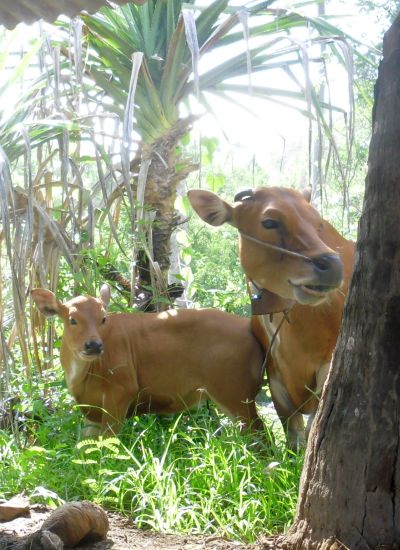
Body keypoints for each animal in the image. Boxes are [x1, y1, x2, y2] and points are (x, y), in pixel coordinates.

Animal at [32, 288, 266, 440]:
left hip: (236, 396)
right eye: (72, 319)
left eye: (103, 318)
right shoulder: (91, 410)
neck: (82, 376)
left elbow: (108, 442)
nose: (94, 345)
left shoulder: (121, 393)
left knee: (260, 435)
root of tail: (247, 324)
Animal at [188, 188, 354, 450]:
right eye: (269, 222)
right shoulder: (275, 377)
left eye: (318, 223)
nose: (332, 265)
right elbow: (294, 439)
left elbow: (311, 433)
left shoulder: (328, 368)